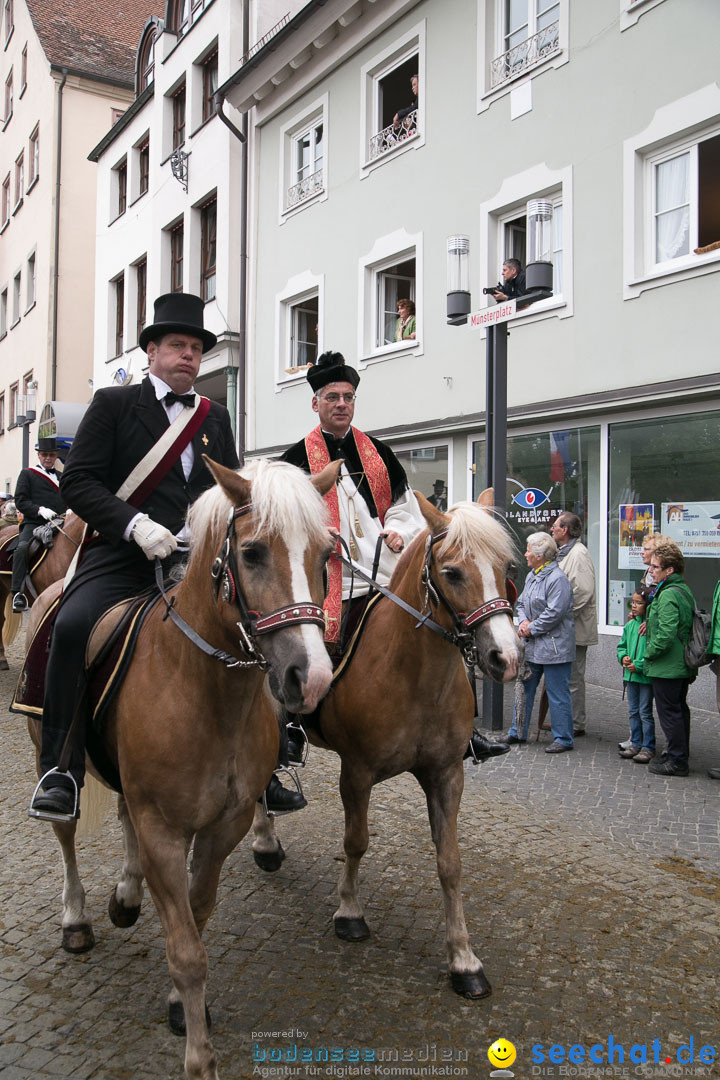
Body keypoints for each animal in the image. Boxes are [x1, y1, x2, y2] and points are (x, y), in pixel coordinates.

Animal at [254, 490, 524, 993]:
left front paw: (463, 958)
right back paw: (264, 843)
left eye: (507, 566)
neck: (415, 677)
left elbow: (450, 862)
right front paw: (349, 912)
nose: (506, 657)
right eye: (453, 572)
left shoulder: (446, 774)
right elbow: (356, 841)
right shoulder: (356, 773)